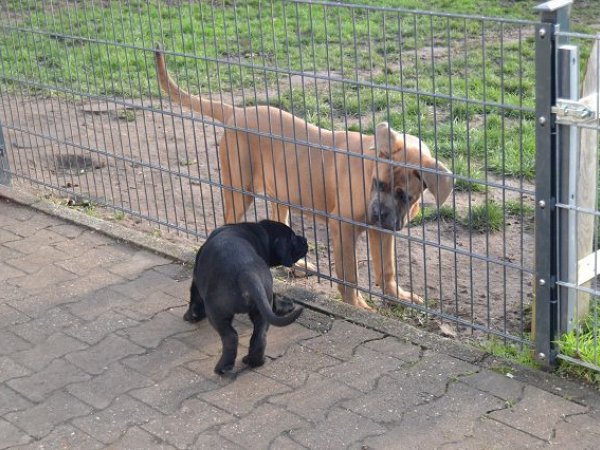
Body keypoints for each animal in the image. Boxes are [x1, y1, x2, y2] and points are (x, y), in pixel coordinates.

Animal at [155, 47, 453, 310]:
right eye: (377, 184)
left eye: (404, 195)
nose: (378, 213)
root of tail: (236, 112)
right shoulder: (343, 226)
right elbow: (350, 276)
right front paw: (357, 306)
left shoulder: (381, 231)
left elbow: (387, 269)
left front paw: (398, 296)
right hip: (240, 190)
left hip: (281, 191)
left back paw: (295, 265)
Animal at [185, 220, 308, 375]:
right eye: (292, 238)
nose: (305, 240)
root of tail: (247, 272)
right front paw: (286, 305)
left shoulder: (197, 278)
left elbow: (195, 296)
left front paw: (191, 315)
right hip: (261, 308)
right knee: (259, 336)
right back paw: (254, 361)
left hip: (216, 312)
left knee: (231, 337)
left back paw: (223, 368)